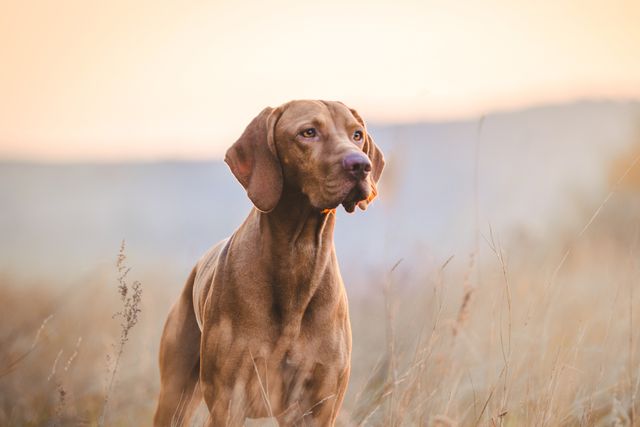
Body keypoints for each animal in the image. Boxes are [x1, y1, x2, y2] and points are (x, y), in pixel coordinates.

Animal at [154, 100, 384, 427]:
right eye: (308, 132)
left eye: (357, 134)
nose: (361, 165)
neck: (298, 255)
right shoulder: (228, 402)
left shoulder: (319, 406)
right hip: (175, 394)